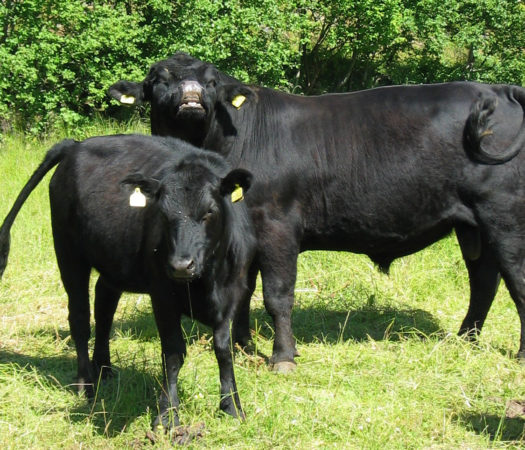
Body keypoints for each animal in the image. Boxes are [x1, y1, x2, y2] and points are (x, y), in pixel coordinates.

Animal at [0, 134, 255, 428]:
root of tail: (76, 145)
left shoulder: (233, 292)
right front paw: (167, 415)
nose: (181, 265)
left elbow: (223, 350)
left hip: (112, 263)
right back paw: (85, 383)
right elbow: (173, 352)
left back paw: (104, 369)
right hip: (68, 253)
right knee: (80, 318)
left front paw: (232, 406)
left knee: (104, 306)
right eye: (163, 214)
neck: (206, 281)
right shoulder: (162, 295)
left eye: (209, 212)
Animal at [109, 51, 524, 370]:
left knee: (514, 280)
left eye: (210, 81)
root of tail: (501, 90)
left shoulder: (277, 226)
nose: (192, 95)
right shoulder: (242, 234)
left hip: (506, 217)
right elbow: (242, 291)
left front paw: (282, 356)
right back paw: (465, 339)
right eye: (159, 77)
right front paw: (244, 347)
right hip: (473, 225)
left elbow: (278, 295)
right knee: (484, 280)